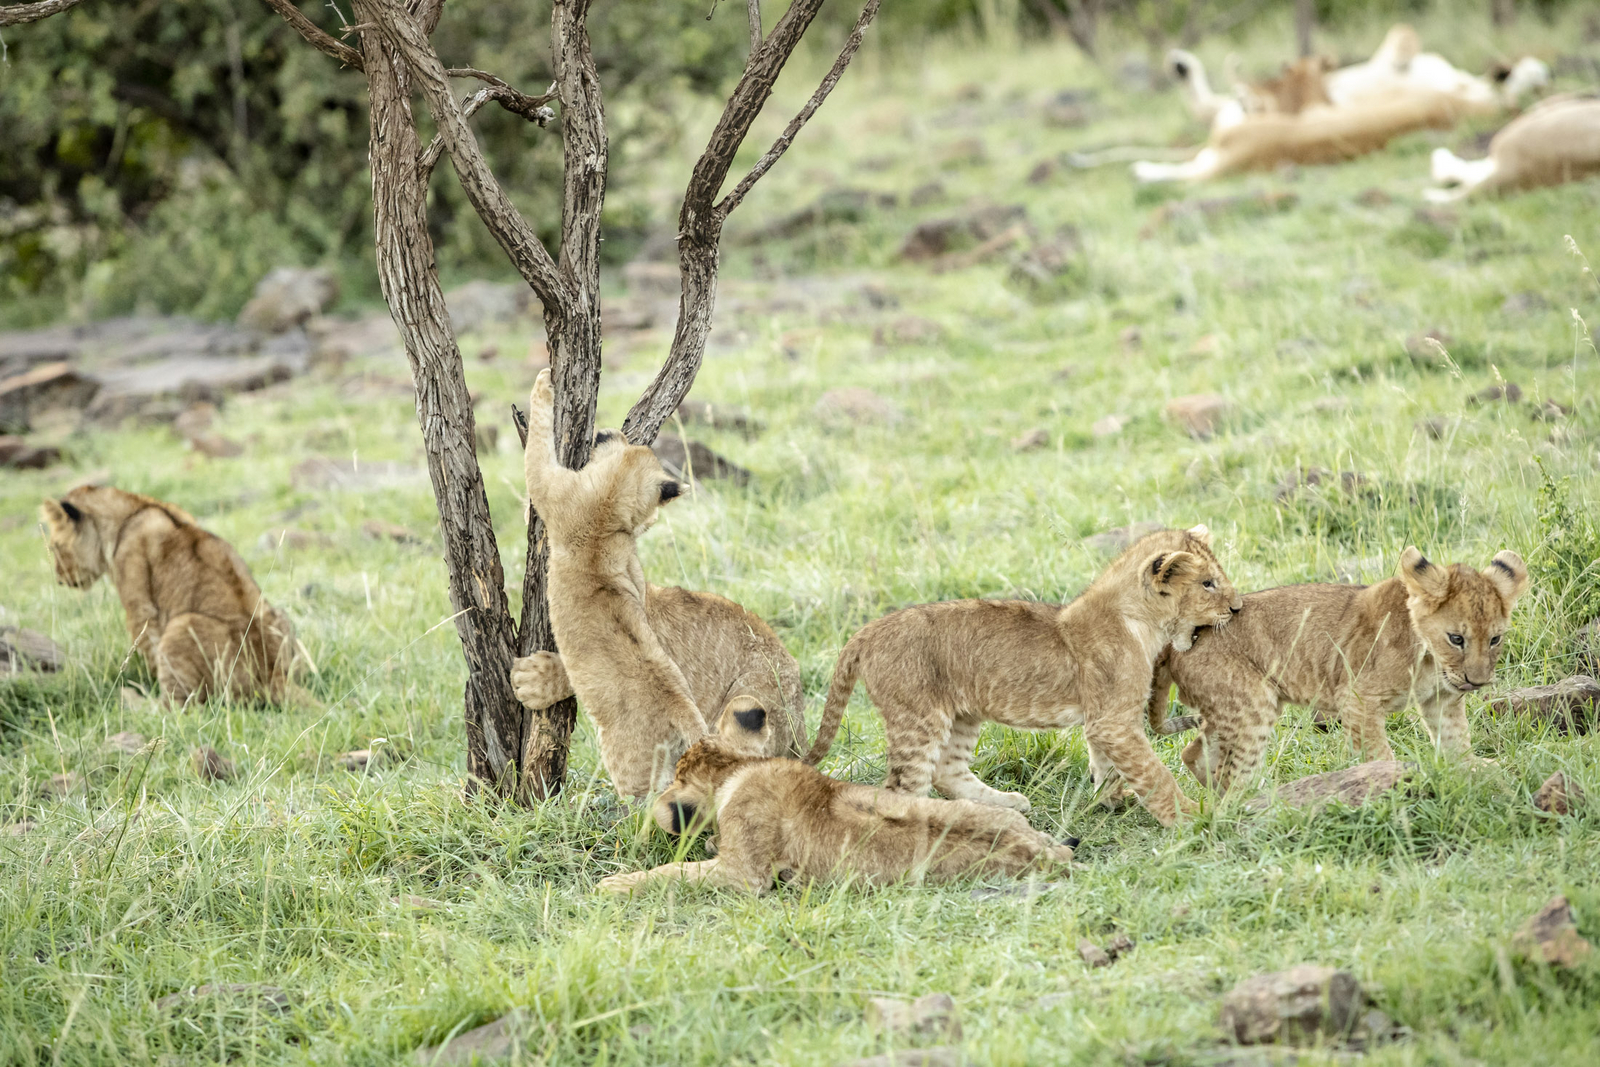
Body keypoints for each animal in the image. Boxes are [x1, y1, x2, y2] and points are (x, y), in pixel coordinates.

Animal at [39, 484, 298, 705]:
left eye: (54, 547)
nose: (59, 578)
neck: (134, 508)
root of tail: (273, 675)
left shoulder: (140, 608)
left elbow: (148, 649)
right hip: (280, 616)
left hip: (180, 626)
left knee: (178, 707)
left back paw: (136, 702)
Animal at [521, 367, 708, 799]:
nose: (609, 431)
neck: (606, 505)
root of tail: (682, 707)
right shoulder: (630, 564)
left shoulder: (551, 489)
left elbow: (536, 447)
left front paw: (543, 384)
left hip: (629, 766)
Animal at [802, 526, 1240, 828]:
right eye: (1208, 583)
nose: (1237, 608)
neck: (1140, 622)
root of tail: (867, 630)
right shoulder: (1114, 719)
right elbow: (1154, 772)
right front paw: (1189, 817)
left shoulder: (1108, 718)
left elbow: (1108, 764)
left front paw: (1110, 800)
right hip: (917, 718)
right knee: (901, 790)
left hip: (962, 715)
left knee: (947, 772)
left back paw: (1006, 804)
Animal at [1147, 548, 1530, 795]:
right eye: (1456, 639)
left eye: (1495, 639)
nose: (1477, 682)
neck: (1430, 659)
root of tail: (1177, 643)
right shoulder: (1357, 699)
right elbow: (1379, 754)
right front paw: (1392, 783)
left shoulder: (1442, 699)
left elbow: (1454, 738)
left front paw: (1472, 769)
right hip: (1251, 705)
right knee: (1232, 773)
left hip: (1229, 709)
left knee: (1193, 753)